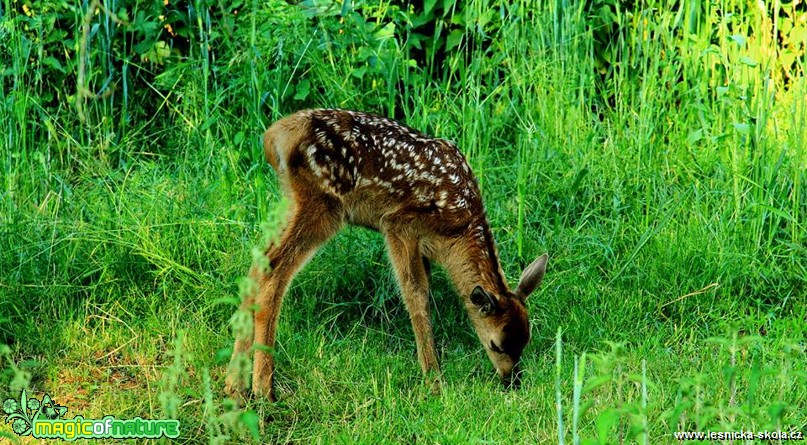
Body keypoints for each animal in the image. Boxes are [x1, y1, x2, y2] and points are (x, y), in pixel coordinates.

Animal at [224, 109, 548, 400]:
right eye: (496, 345)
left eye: (524, 343)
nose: (512, 381)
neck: (457, 233)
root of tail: (276, 134)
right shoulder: (398, 225)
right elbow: (415, 294)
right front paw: (434, 380)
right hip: (323, 203)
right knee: (274, 269)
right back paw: (263, 388)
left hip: (292, 202)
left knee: (257, 264)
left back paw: (235, 384)